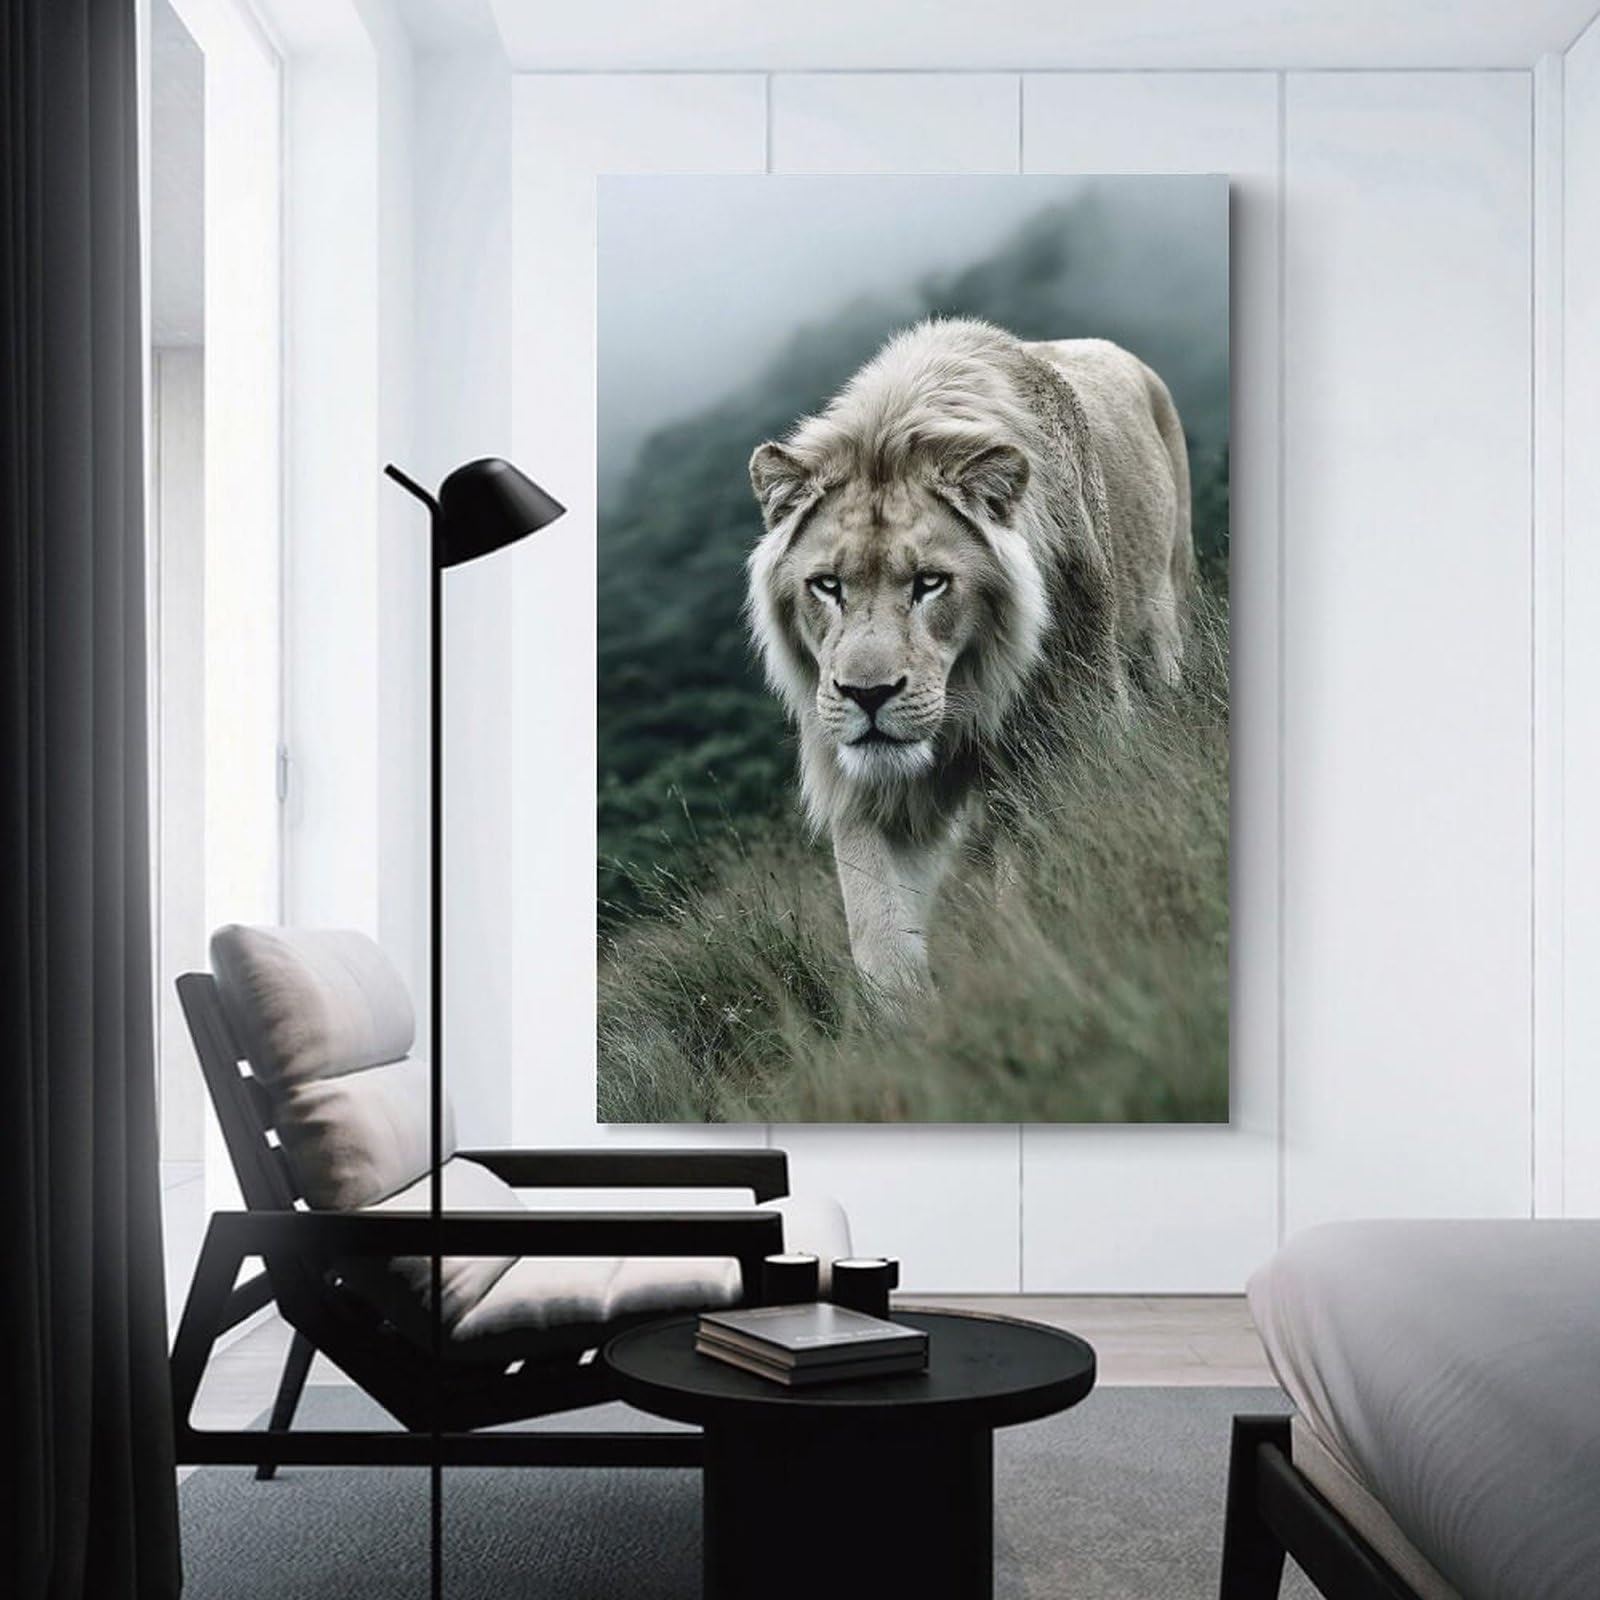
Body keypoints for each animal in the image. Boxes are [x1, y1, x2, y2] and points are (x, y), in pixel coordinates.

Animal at [746, 316, 1194, 991]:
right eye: (827, 585)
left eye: (930, 582)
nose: (867, 695)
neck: (970, 692)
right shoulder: (865, 791)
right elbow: (878, 934)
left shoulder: (1073, 734)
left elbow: (1035, 869)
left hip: (1165, 605)